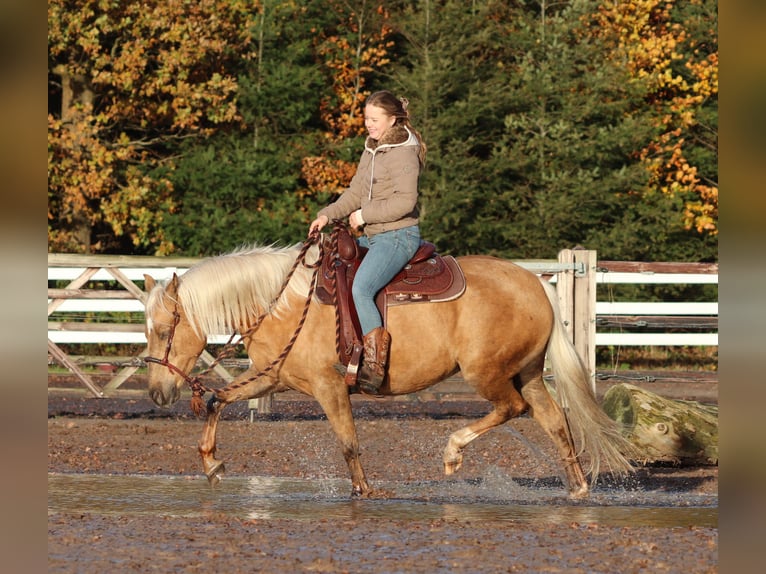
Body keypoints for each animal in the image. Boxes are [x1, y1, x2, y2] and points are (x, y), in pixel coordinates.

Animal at [144, 238, 636, 500]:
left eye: (164, 328)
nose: (156, 392)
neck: (283, 303)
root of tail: (535, 284)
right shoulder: (272, 378)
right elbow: (217, 400)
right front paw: (211, 463)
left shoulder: (328, 387)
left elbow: (348, 442)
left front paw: (365, 492)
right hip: (527, 372)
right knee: (553, 421)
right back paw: (577, 488)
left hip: (488, 374)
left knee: (511, 409)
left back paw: (453, 452)